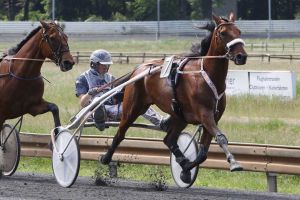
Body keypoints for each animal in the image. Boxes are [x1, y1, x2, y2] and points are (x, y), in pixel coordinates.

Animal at [102, 12, 247, 184]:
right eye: (223, 33)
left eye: (239, 31)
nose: (241, 56)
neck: (208, 75)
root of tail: (139, 68)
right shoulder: (205, 114)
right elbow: (221, 138)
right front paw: (234, 162)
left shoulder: (214, 117)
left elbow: (203, 153)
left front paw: (185, 170)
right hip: (133, 108)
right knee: (120, 134)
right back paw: (105, 157)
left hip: (180, 116)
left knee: (169, 139)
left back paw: (182, 160)